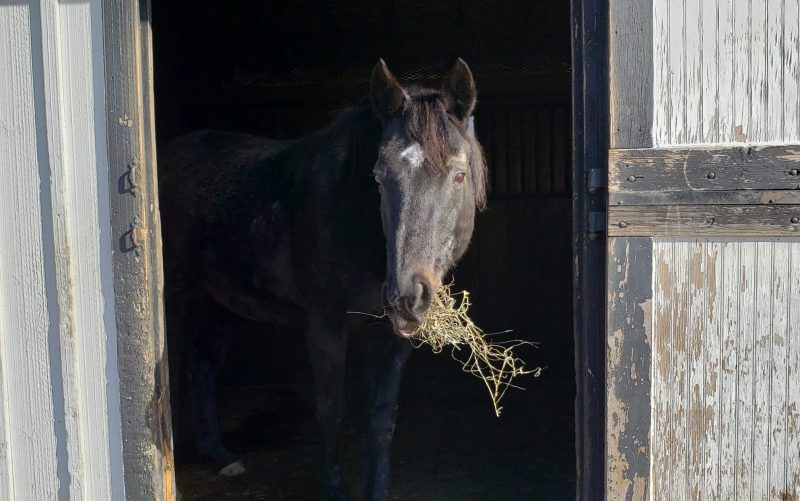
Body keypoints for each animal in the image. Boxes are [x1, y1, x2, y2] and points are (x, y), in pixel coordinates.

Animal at [158, 58, 487, 501]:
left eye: (458, 174)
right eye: (379, 176)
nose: (405, 297)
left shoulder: (393, 338)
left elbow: (381, 417)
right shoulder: (326, 325)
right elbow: (330, 408)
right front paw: (333, 489)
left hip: (225, 301)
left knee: (203, 363)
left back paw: (221, 456)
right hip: (178, 294)